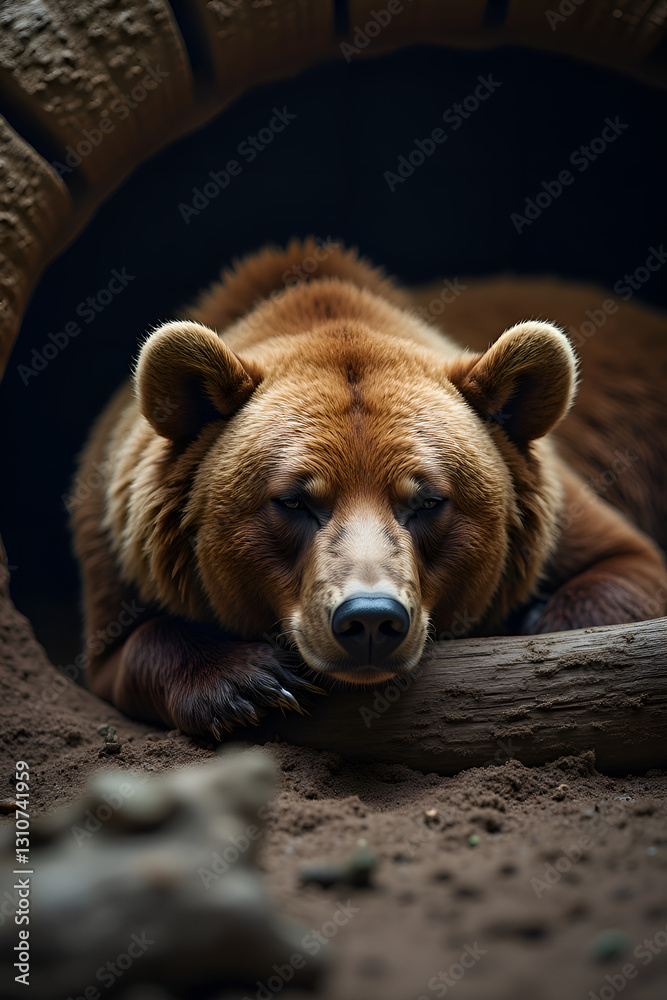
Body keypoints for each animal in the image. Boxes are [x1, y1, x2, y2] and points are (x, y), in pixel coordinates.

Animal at [71, 238, 667, 738]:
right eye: (294, 500)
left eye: (428, 500)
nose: (372, 619)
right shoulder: (116, 540)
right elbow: (120, 652)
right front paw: (250, 684)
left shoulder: (557, 513)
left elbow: (628, 563)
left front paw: (538, 618)